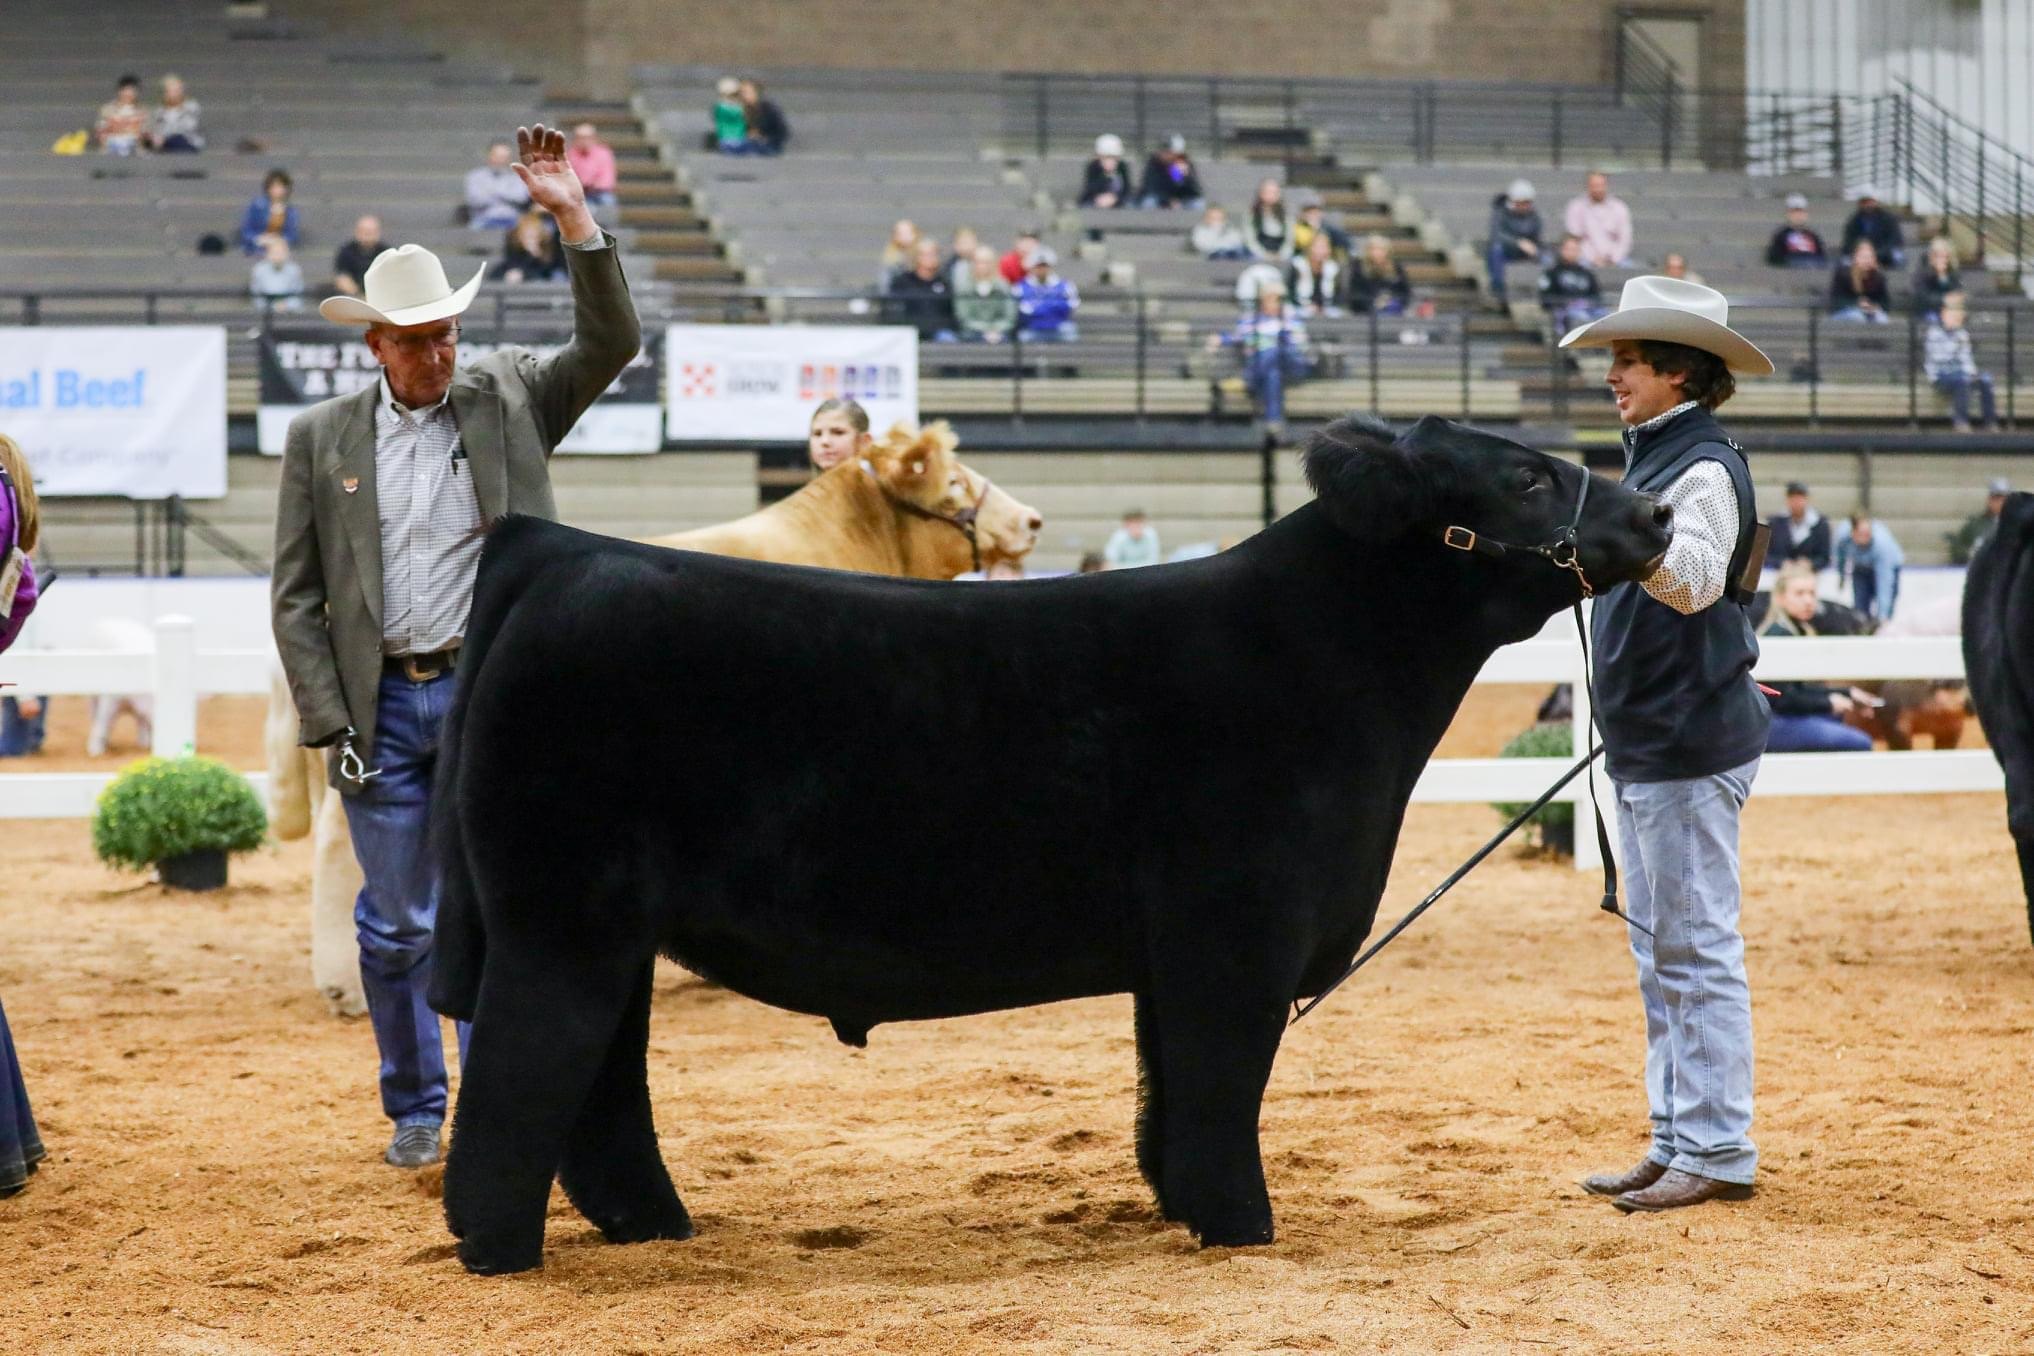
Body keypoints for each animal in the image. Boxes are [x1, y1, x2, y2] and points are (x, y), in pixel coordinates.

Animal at [420, 413, 1673, 1275]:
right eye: (1525, 477)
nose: (1658, 517)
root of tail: (561, 549)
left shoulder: (1178, 955)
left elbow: (1170, 1090)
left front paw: (1183, 1207)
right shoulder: (1237, 931)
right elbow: (1224, 1084)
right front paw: (1244, 1226)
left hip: (612, 930)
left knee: (599, 1088)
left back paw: (655, 1225)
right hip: (559, 922)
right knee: (520, 1079)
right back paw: (500, 1251)